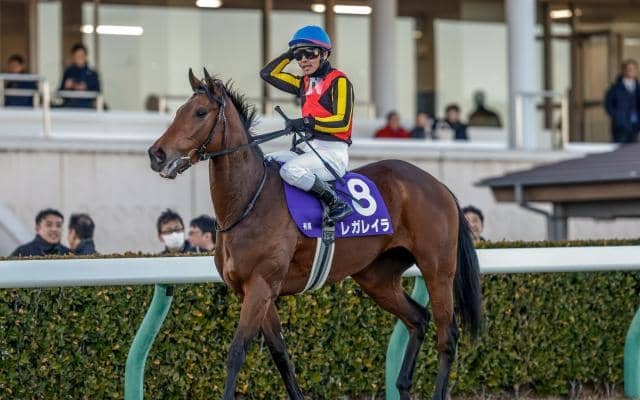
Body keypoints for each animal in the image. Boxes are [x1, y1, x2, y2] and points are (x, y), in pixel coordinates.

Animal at [148, 68, 482, 400]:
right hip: (377, 276)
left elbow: (237, 351)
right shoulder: (257, 291)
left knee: (447, 335)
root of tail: (438, 186)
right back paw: (401, 384)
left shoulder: (260, 285)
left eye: (200, 112)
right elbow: (281, 355)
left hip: (437, 269)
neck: (248, 201)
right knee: (418, 319)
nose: (156, 154)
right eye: (178, 111)